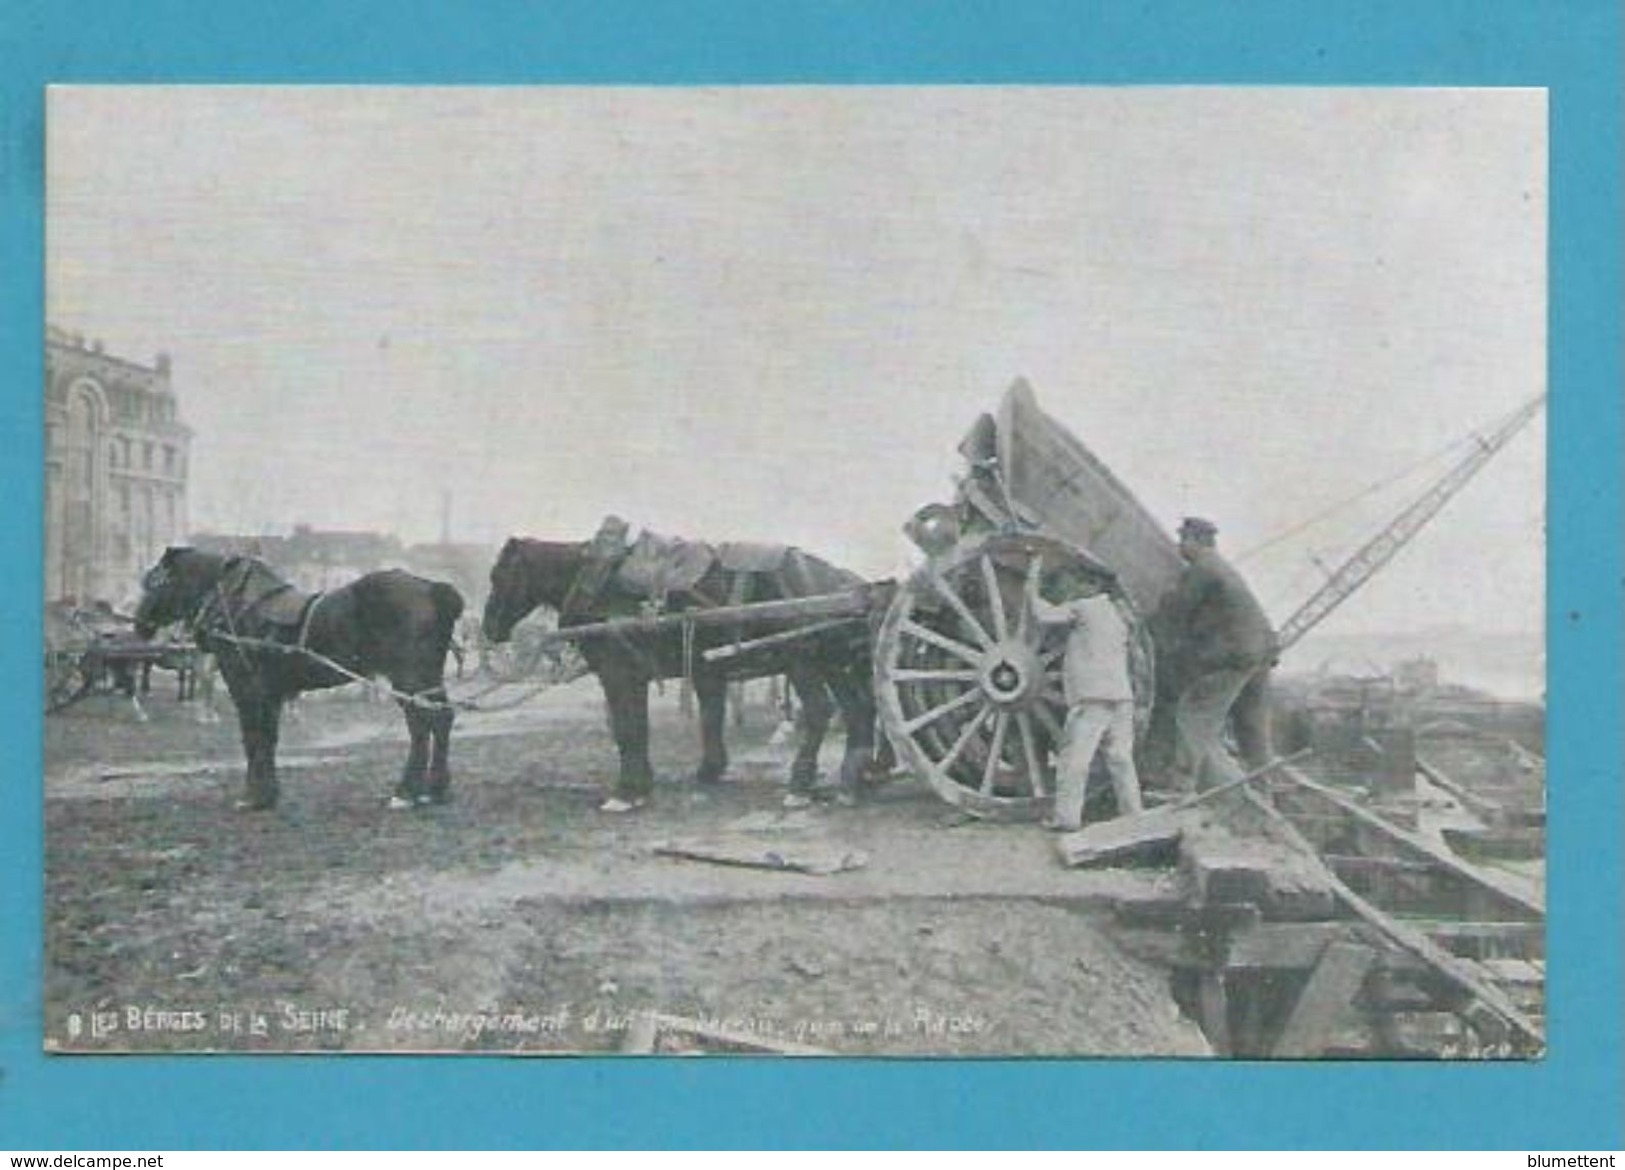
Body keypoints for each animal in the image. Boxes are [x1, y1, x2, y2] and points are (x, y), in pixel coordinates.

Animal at [134, 546, 468, 806]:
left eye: (156, 581)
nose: (139, 624)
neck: (233, 603)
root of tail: (432, 589)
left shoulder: (245, 687)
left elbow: (253, 736)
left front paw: (254, 795)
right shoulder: (271, 692)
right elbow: (268, 738)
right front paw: (268, 793)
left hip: (409, 679)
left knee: (423, 724)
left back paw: (408, 791)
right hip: (425, 679)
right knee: (440, 720)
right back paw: (434, 788)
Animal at [481, 536, 884, 809]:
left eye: (499, 575)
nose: (489, 630)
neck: (597, 583)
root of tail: (840, 581)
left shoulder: (618, 673)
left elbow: (627, 729)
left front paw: (626, 790)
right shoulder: (636, 675)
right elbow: (640, 728)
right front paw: (644, 783)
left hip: (802, 659)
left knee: (819, 711)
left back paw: (801, 783)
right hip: (831, 660)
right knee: (858, 710)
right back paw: (856, 776)